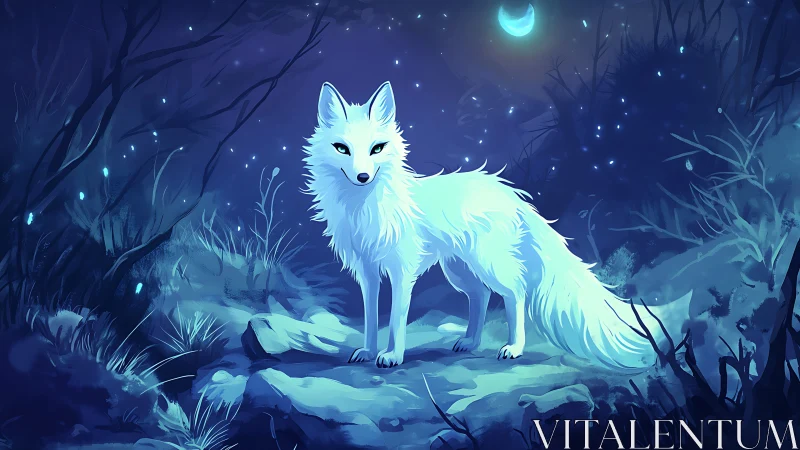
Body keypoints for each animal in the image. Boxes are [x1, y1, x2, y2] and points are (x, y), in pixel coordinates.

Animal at [302, 81, 692, 369]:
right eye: (342, 148)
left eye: (377, 148)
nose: (363, 176)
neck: (364, 208)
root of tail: (513, 195)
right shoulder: (367, 273)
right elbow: (370, 318)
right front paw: (368, 352)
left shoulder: (402, 271)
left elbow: (397, 320)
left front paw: (392, 356)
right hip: (459, 270)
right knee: (481, 295)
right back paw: (470, 341)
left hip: (487, 264)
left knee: (514, 293)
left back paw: (513, 347)